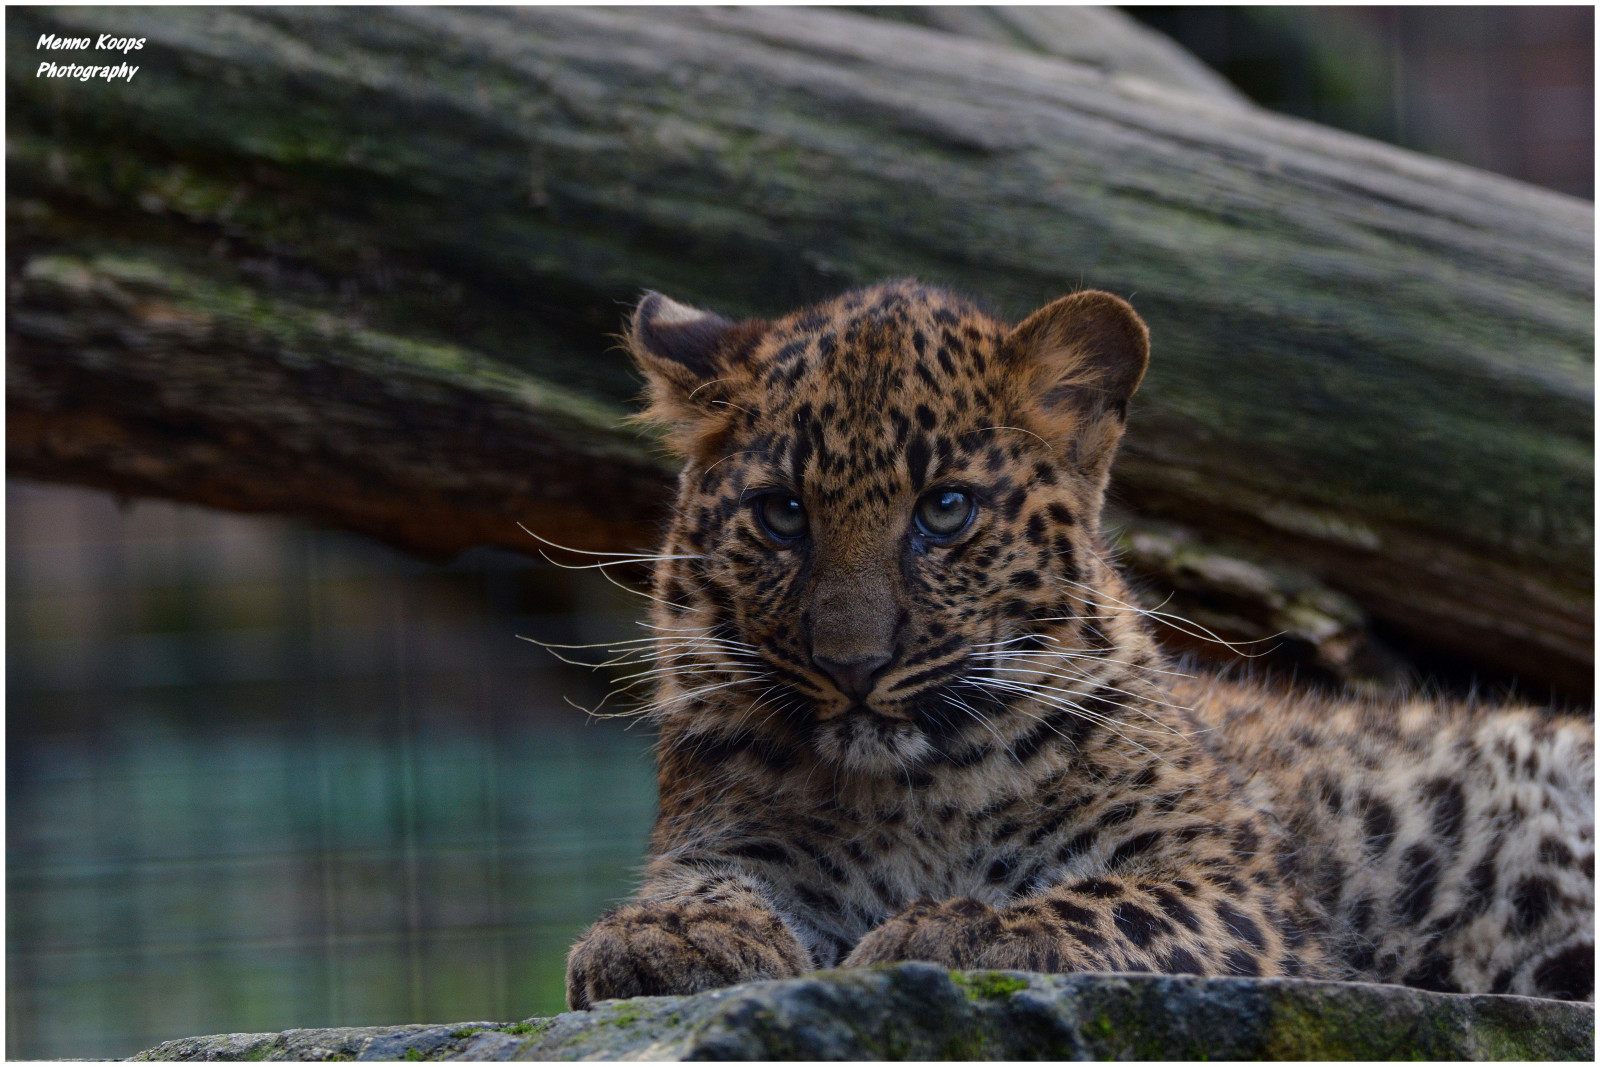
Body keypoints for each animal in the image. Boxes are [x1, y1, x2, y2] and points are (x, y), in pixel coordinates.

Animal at [563, 280, 1594, 1010]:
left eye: (945, 509)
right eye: (782, 514)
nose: (853, 665)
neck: (916, 795)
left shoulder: (1240, 885)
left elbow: (1105, 901)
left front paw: (950, 936)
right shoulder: (733, 838)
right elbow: (702, 886)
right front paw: (660, 937)